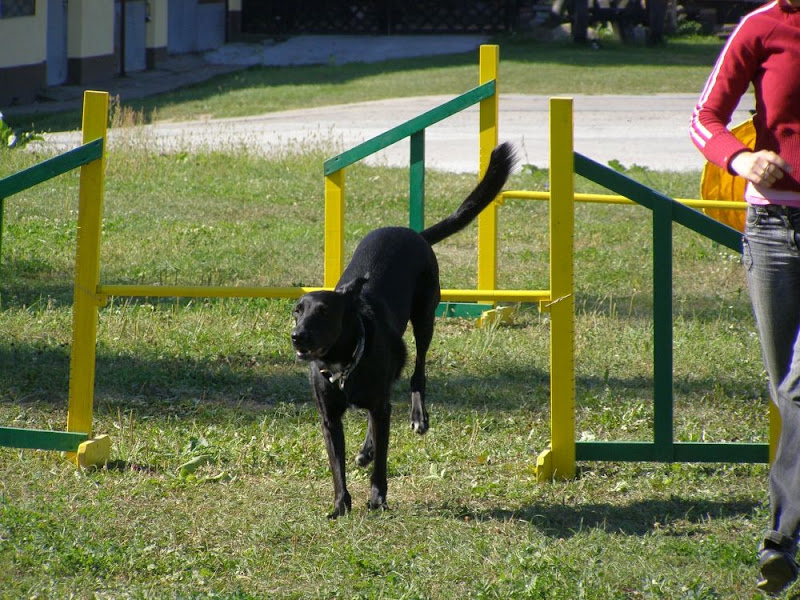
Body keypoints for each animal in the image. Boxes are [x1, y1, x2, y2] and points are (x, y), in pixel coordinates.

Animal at [291, 142, 516, 518]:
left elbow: (382, 459)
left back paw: (417, 417)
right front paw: (340, 505)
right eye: (297, 312)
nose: (297, 336)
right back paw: (365, 450)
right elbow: (337, 464)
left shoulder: (379, 403)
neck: (343, 362)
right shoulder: (330, 418)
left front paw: (377, 498)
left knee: (417, 374)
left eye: (323, 312)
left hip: (425, 318)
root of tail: (413, 234)